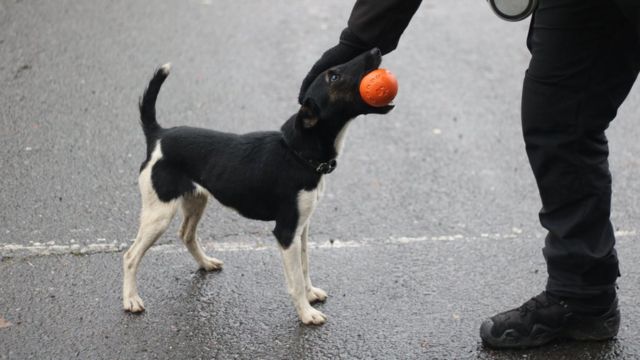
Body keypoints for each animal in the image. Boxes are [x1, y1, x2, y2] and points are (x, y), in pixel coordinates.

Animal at [122, 46, 392, 324]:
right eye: (334, 76)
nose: (375, 50)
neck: (297, 154)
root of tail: (158, 135)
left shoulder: (302, 228)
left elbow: (305, 267)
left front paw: (310, 295)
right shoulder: (286, 232)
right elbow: (296, 280)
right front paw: (306, 313)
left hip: (196, 200)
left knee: (186, 235)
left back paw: (205, 263)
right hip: (159, 214)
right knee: (130, 256)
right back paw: (131, 299)